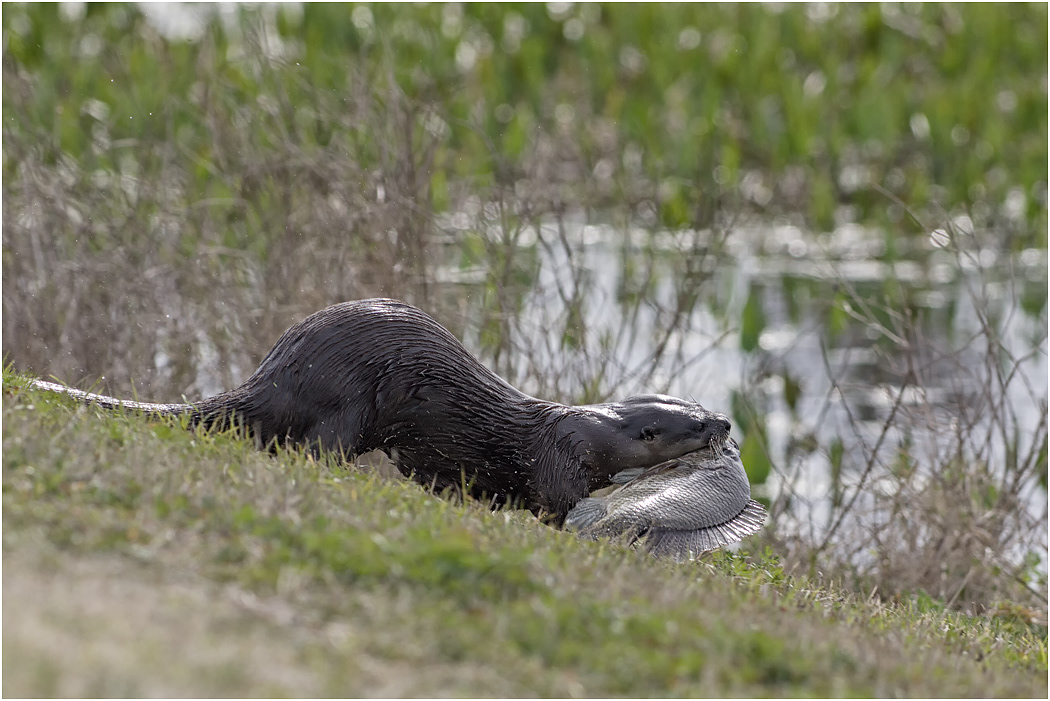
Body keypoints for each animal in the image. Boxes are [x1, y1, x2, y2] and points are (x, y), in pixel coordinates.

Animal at [28, 299, 733, 519]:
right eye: (695, 424)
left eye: (704, 406)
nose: (726, 423)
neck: (587, 430)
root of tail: (275, 373)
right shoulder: (560, 462)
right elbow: (557, 508)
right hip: (347, 401)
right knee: (314, 451)